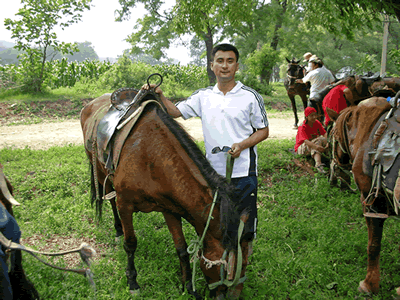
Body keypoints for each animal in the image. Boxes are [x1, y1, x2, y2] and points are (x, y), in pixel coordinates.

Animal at [80, 92, 250, 298]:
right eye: (227, 269)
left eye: (245, 266)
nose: (227, 296)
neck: (150, 155)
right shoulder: (125, 204)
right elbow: (130, 244)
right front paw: (132, 282)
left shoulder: (169, 208)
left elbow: (182, 248)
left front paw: (189, 287)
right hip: (99, 170)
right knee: (110, 199)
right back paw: (118, 230)